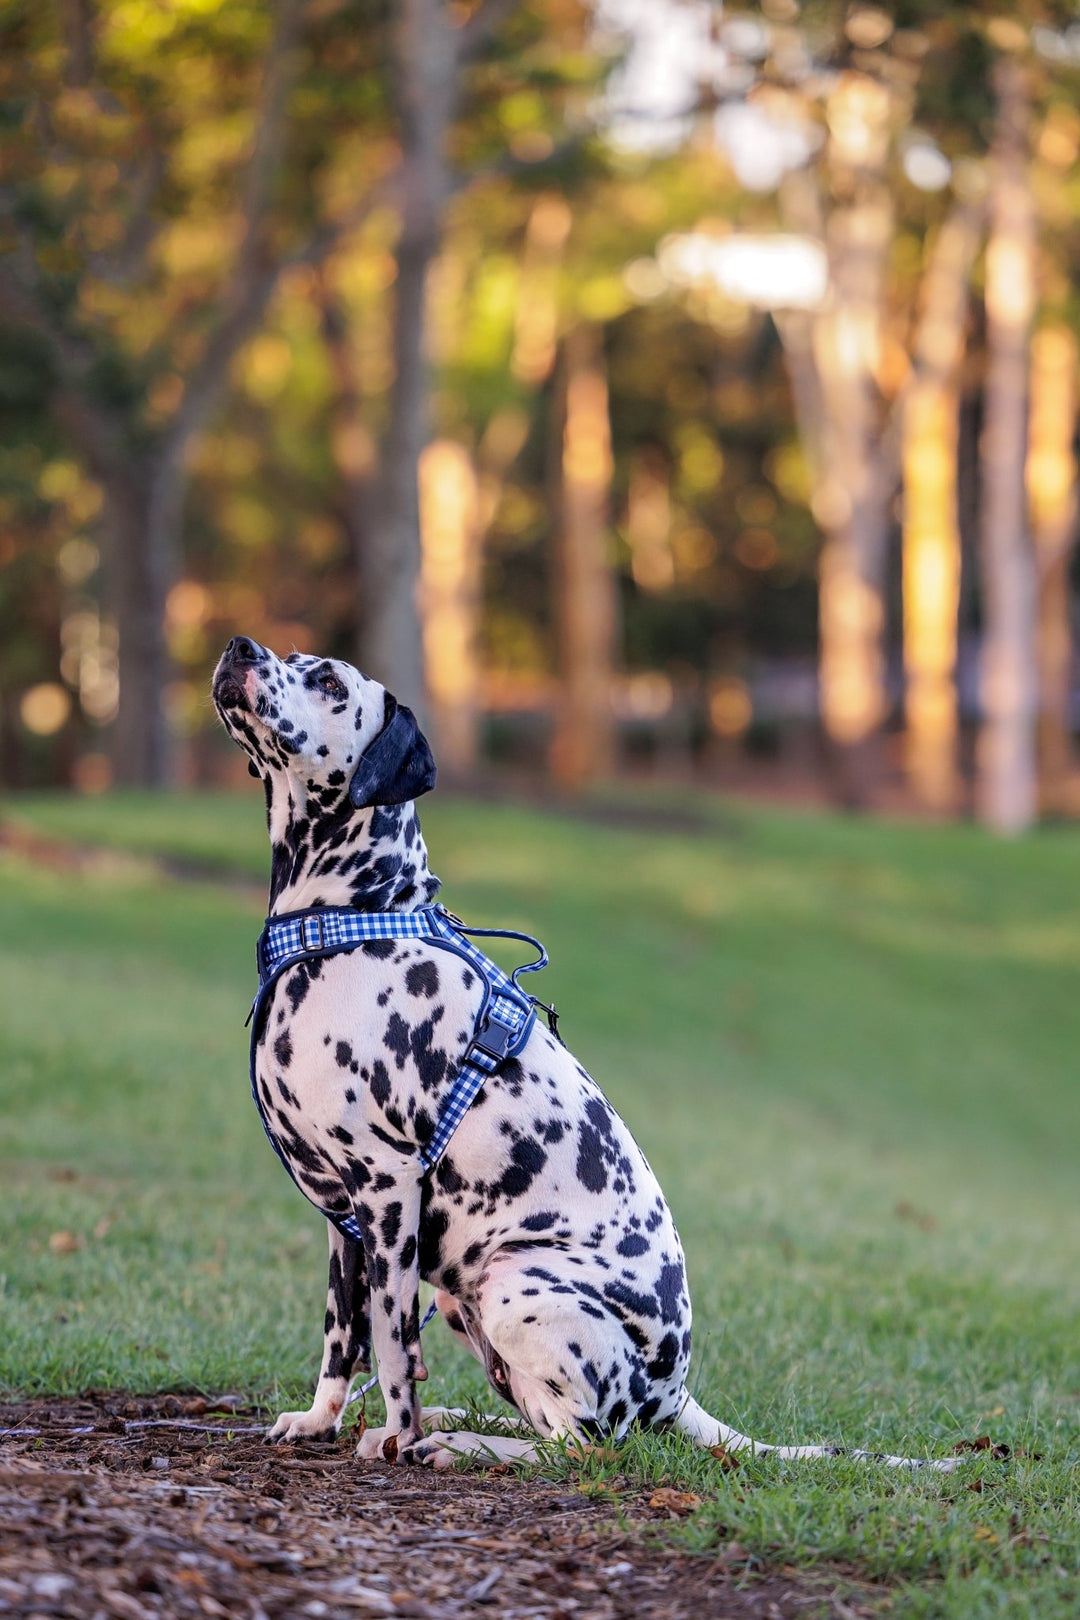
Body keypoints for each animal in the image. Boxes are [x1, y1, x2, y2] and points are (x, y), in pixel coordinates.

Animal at [210, 638, 952, 1477]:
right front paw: (319, 1419)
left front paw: (395, 1437)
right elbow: (343, 1336)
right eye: (289, 655)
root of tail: (673, 1397)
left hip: (515, 1287)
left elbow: (393, 1351)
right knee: (548, 1426)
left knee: (580, 1446)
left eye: (330, 681)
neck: (350, 917)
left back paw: (451, 1442)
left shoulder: (388, 1192)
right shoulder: (346, 1221)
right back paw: (455, 1420)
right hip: (467, 1301)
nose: (239, 646)